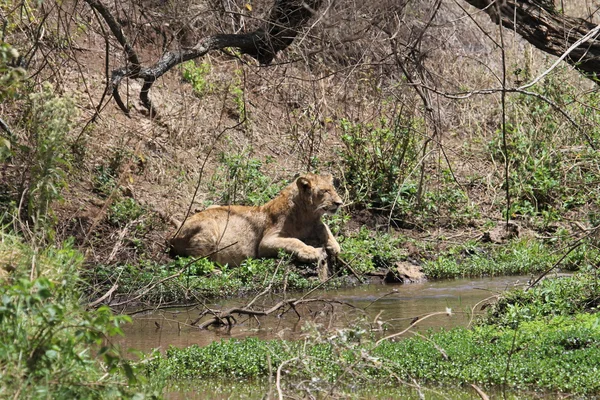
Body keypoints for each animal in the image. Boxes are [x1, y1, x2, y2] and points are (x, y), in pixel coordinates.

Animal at [169, 172, 344, 266]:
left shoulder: (315, 223)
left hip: (213, 205)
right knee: (194, 261)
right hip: (209, 227)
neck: (307, 214)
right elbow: (294, 241)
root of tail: (175, 231)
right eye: (325, 191)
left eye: (334, 189)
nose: (339, 203)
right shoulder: (266, 241)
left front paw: (335, 246)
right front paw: (310, 251)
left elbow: (325, 228)